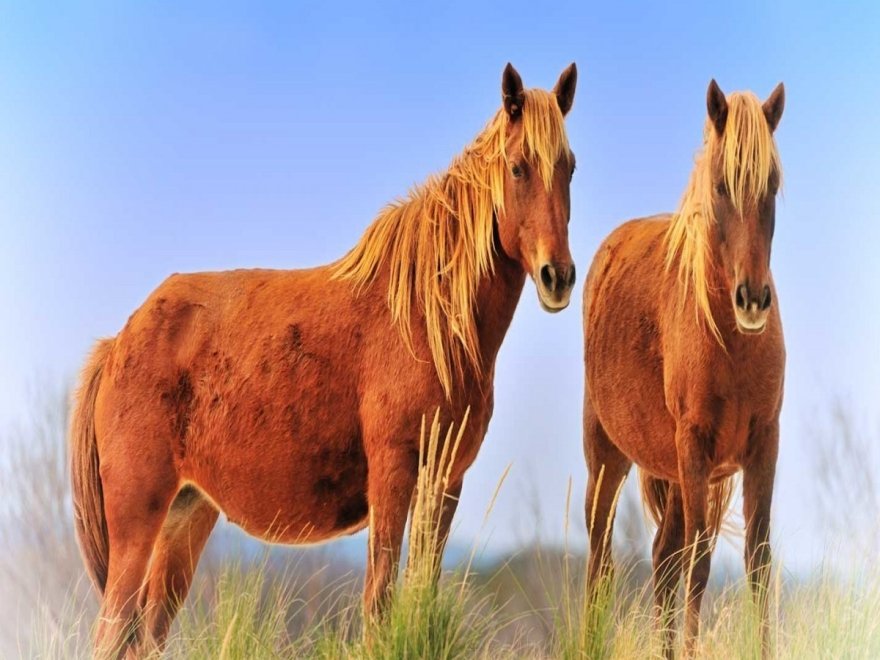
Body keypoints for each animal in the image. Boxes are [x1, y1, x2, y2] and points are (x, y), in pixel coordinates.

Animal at [69, 60, 576, 656]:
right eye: (519, 168)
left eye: (569, 167)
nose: (558, 277)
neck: (427, 320)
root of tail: (118, 343)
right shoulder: (392, 475)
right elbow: (378, 605)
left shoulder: (445, 482)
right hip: (138, 521)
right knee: (110, 632)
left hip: (185, 518)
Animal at [584, 78, 784, 656]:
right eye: (720, 186)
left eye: (772, 185)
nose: (753, 300)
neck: (731, 345)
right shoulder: (695, 447)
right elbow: (698, 569)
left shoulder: (764, 444)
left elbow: (757, 564)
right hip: (607, 456)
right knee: (601, 561)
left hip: (671, 471)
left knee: (662, 556)